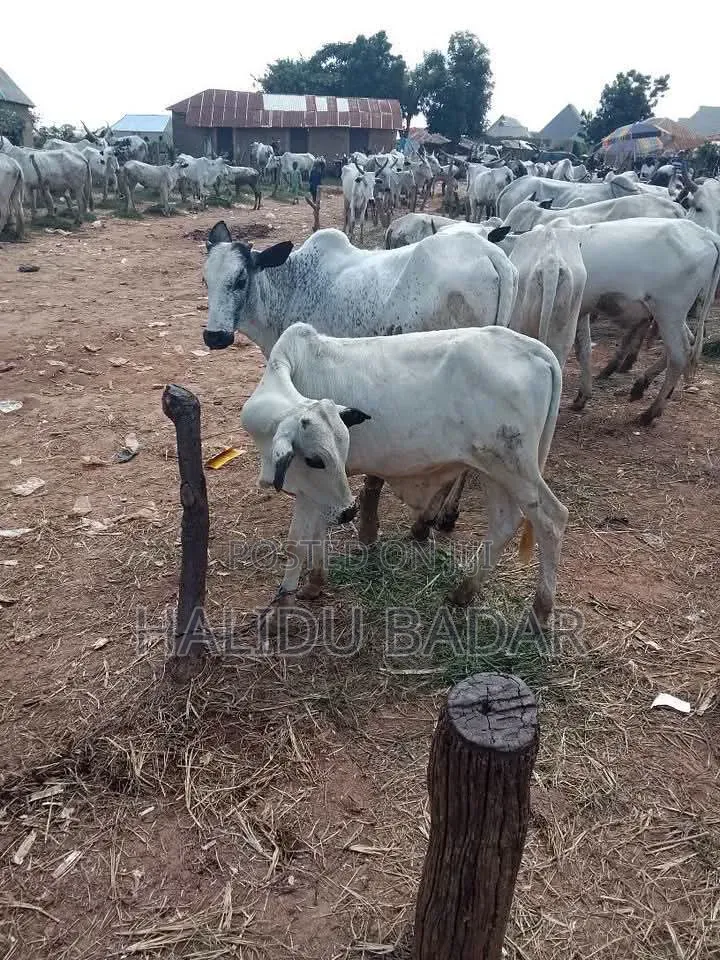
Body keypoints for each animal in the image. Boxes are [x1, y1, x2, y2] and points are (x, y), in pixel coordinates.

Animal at [203, 220, 519, 541]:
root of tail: (490, 253)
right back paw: (445, 517)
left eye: (241, 279)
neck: (290, 286)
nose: (214, 336)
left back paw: (424, 522)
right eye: (205, 280)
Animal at [240, 322, 567, 625]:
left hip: (516, 469)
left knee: (552, 520)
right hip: (491, 468)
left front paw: (282, 609)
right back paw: (464, 591)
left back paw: (540, 610)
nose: (350, 512)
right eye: (316, 459)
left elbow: (297, 543)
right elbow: (316, 535)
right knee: (504, 521)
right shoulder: (321, 491)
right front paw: (314, 583)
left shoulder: (310, 489)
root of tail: (534, 349)